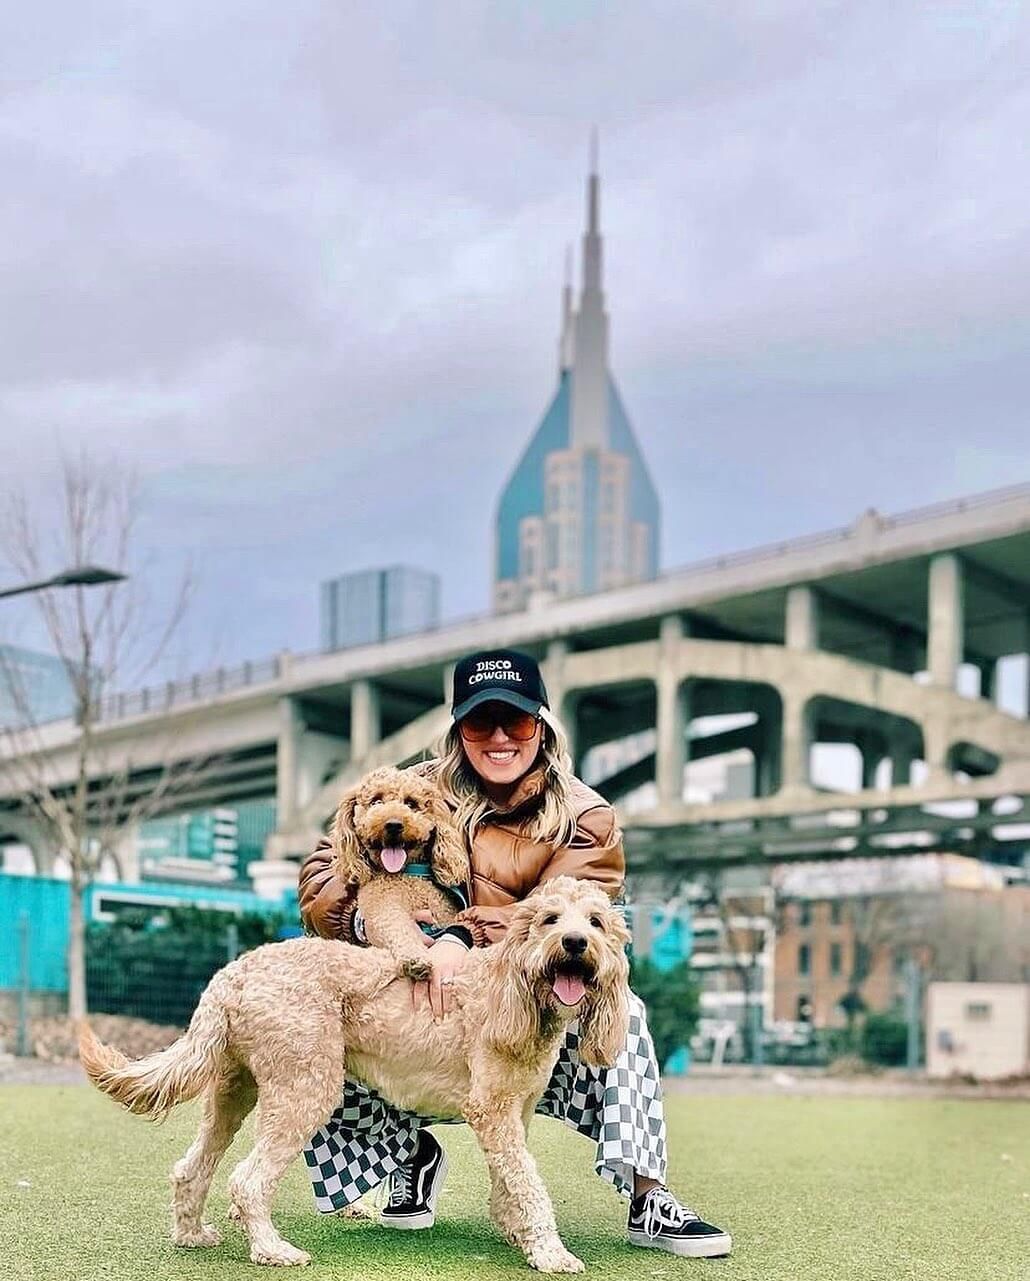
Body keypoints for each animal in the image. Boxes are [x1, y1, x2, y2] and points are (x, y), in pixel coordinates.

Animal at [79, 877, 630, 1273]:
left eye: (596, 922)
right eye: (549, 920)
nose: (575, 942)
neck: (517, 989)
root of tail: (231, 974)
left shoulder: (516, 1112)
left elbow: (511, 1178)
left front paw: (517, 1232)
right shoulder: (492, 1111)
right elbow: (530, 1183)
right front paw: (551, 1253)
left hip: (234, 1093)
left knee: (193, 1168)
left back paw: (192, 1235)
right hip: (305, 1087)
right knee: (247, 1180)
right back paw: (272, 1250)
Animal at [329, 765, 470, 969]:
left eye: (411, 803)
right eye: (376, 801)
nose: (393, 825)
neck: (406, 874)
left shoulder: (444, 916)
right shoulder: (383, 910)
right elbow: (398, 928)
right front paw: (415, 957)